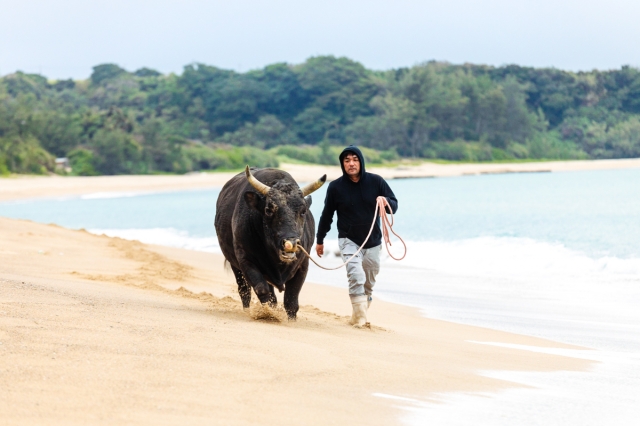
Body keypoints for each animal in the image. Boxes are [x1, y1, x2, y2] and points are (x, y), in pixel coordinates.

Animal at [214, 167, 324, 320]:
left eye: (303, 211)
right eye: (268, 209)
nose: (290, 242)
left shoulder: (303, 264)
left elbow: (291, 300)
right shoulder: (245, 260)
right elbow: (263, 290)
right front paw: (268, 314)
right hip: (234, 265)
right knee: (244, 291)